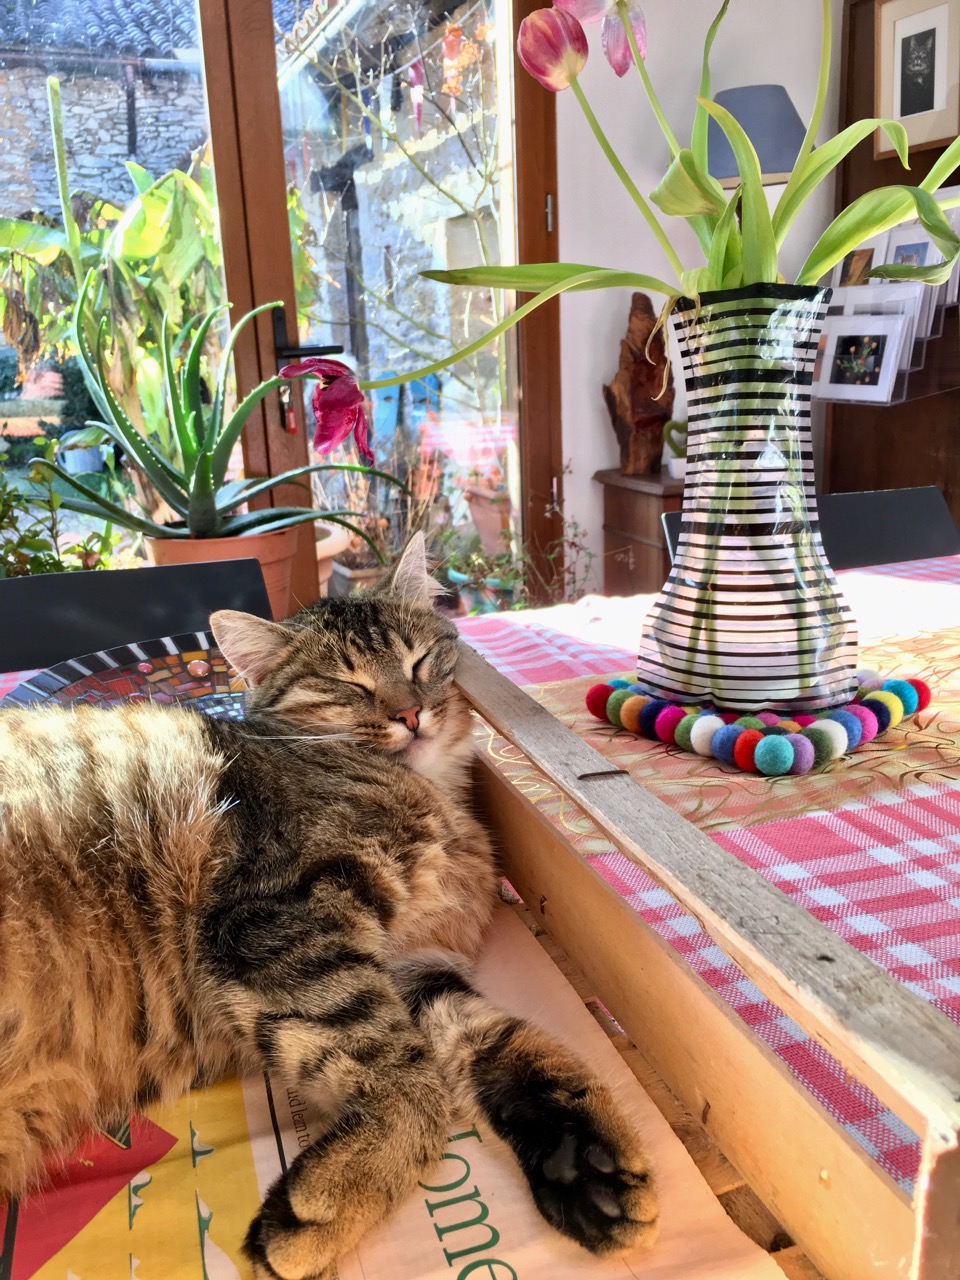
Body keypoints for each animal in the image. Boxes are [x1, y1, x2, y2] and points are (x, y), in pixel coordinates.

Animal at [0, 535, 660, 1274]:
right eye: (348, 685)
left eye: (419, 660)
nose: (410, 713)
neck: (430, 796)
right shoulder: (285, 922)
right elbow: (413, 1082)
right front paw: (335, 1197)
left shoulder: (413, 966)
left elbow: (500, 1041)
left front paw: (586, 1161)